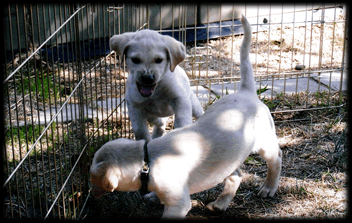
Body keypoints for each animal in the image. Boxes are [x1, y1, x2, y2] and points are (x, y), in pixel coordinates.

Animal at [91, 16, 284, 220]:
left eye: (159, 60)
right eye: (134, 60)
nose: (147, 78)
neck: (147, 161)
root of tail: (246, 91)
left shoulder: (178, 203)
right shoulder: (135, 107)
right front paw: (152, 196)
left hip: (264, 142)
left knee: (276, 158)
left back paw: (268, 187)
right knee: (236, 175)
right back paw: (220, 204)